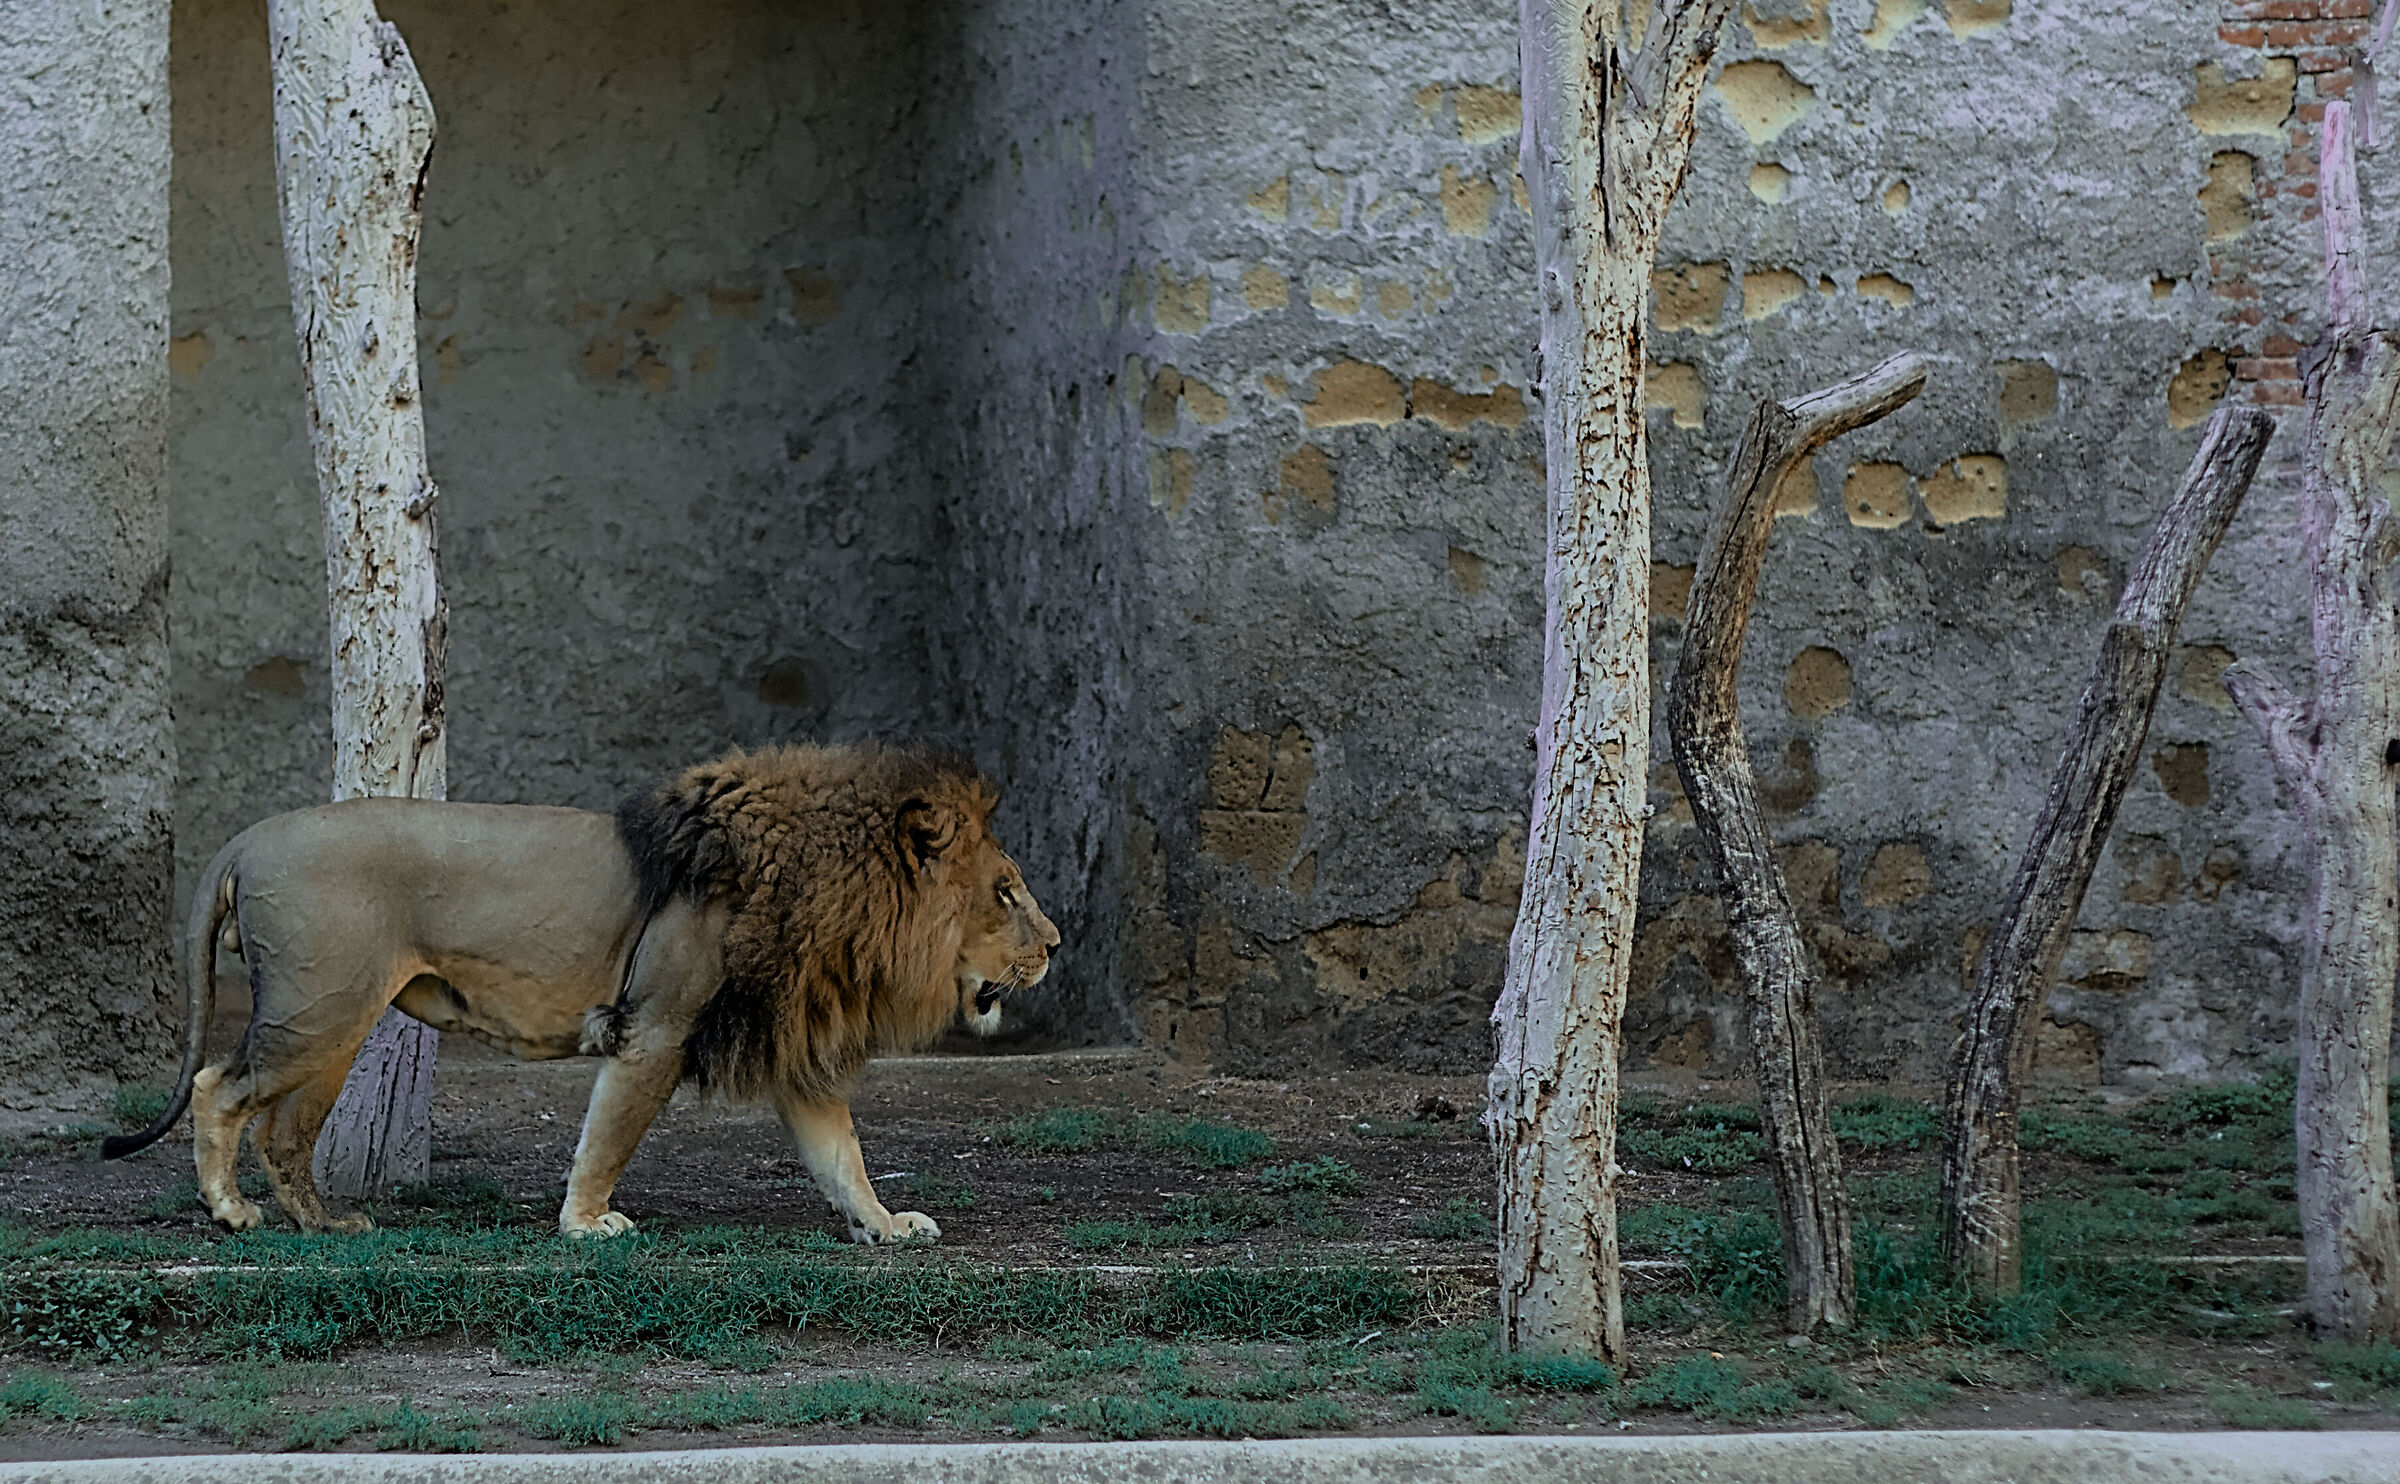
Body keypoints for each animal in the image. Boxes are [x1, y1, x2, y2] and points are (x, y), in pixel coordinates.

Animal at [101, 745, 1059, 1243]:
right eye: (1007, 892)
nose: (1054, 945)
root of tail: (247, 837)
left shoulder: (788, 1042)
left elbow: (842, 1155)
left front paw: (885, 1226)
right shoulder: (656, 1029)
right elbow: (609, 1136)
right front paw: (586, 1223)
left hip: (337, 1022)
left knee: (284, 1131)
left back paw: (327, 1226)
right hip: (317, 1010)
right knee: (216, 1087)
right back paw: (231, 1212)